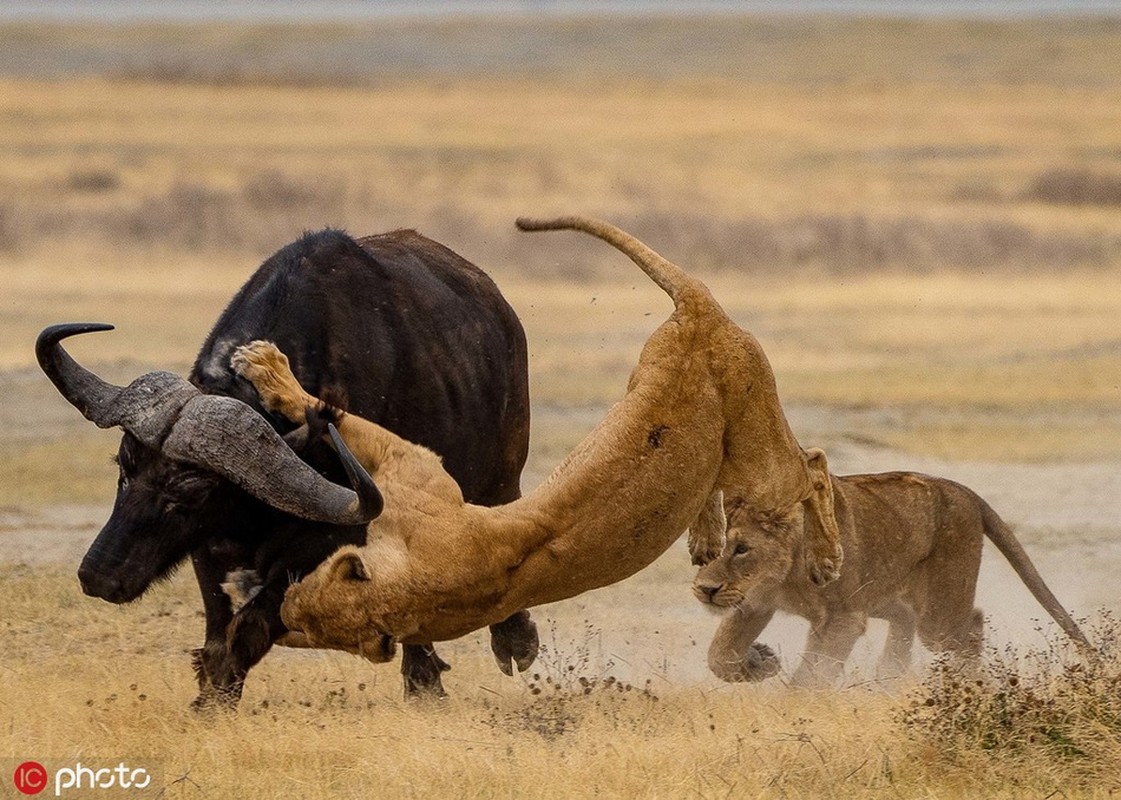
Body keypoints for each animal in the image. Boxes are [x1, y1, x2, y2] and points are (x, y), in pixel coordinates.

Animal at [39, 226, 538, 703]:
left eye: (192, 490)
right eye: (124, 467)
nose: (99, 575)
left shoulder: (332, 540)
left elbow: (250, 629)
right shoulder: (208, 547)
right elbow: (218, 634)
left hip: (500, 478)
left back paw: (494, 651)